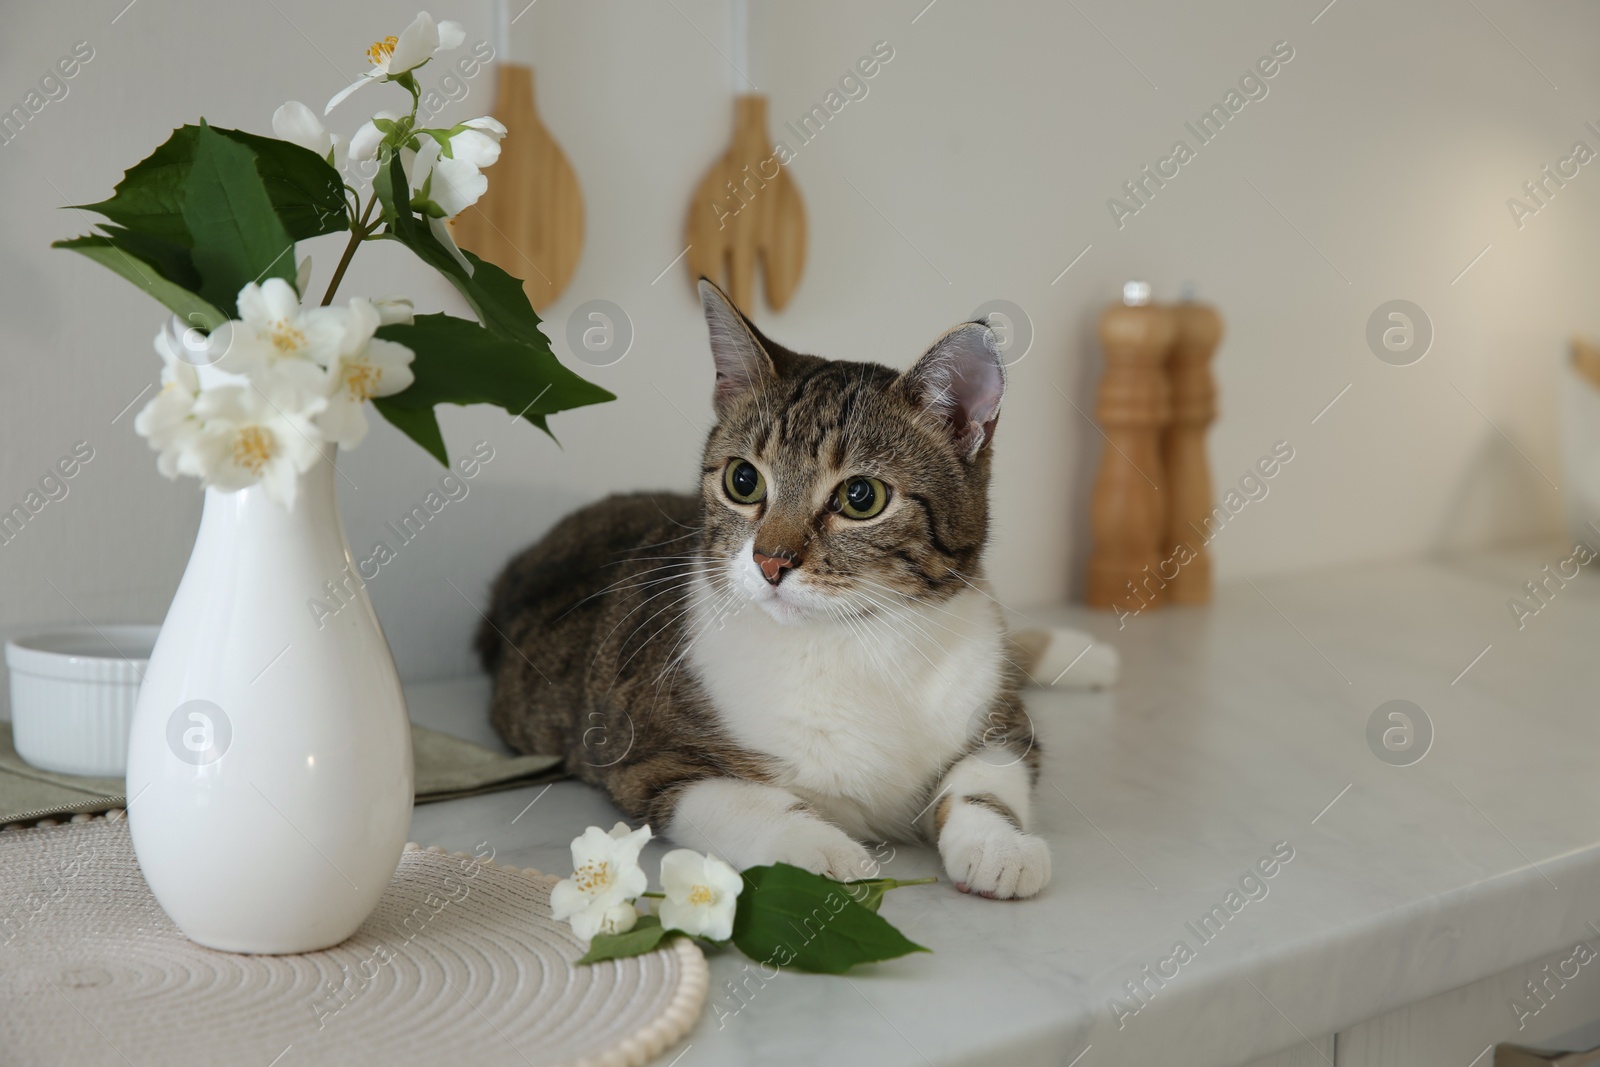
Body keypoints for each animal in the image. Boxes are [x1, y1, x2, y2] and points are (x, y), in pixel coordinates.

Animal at [476, 279, 1049, 895]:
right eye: (743, 480)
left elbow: (984, 777)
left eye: (861, 497)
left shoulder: (1004, 719)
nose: (770, 561)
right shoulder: (650, 760)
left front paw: (1000, 846)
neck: (851, 643)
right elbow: (748, 803)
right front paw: (823, 851)